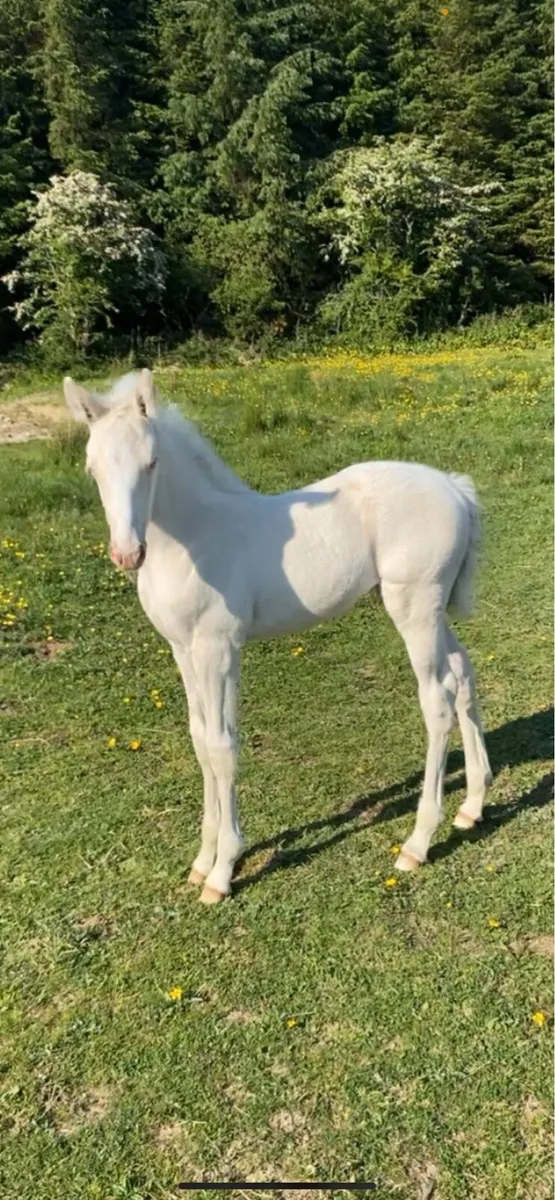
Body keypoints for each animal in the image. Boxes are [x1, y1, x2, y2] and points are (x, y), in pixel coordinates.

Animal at [63, 368, 492, 903]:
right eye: (92, 468)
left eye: (152, 462)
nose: (127, 553)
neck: (195, 540)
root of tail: (453, 487)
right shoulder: (183, 649)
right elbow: (199, 739)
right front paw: (202, 861)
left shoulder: (219, 648)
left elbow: (222, 746)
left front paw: (223, 872)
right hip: (432, 612)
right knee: (464, 673)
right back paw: (472, 806)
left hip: (413, 607)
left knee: (437, 697)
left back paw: (417, 843)